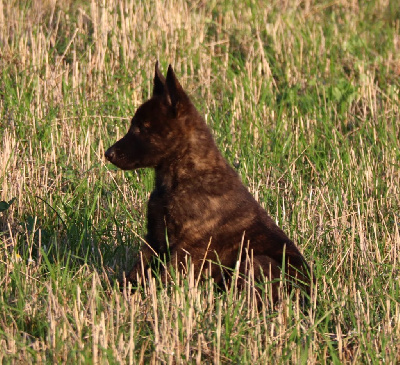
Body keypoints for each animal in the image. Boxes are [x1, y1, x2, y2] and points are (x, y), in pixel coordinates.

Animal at [104, 63, 310, 302]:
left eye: (141, 128)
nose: (108, 154)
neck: (179, 178)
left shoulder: (187, 248)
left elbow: (164, 277)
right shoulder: (155, 239)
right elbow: (136, 272)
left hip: (255, 261)